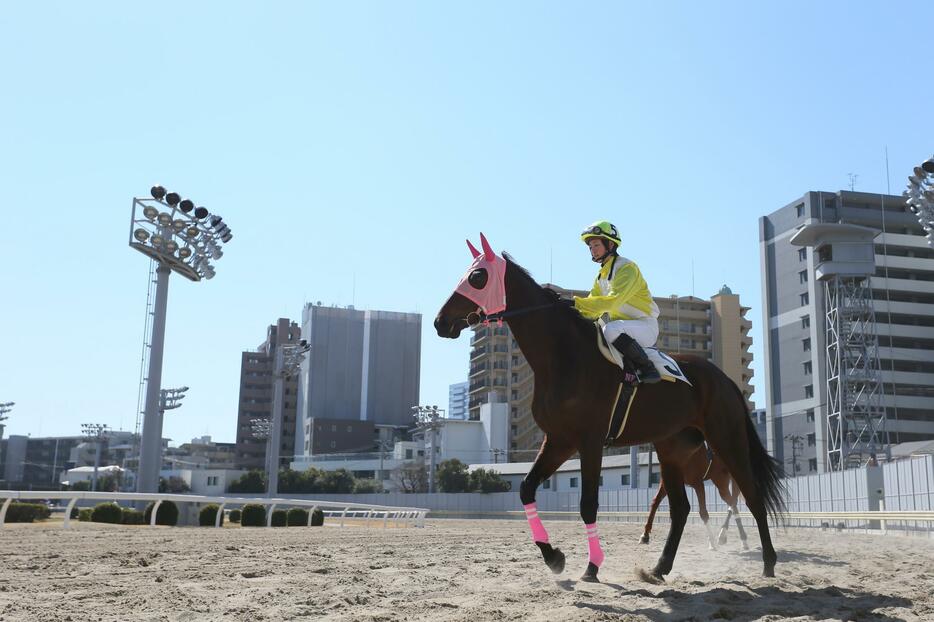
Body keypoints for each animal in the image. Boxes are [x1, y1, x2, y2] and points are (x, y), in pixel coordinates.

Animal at [436, 236, 788, 588]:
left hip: (726, 439)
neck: (564, 357)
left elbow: (588, 504)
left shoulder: (589, 441)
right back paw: (659, 568)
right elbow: (525, 489)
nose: (441, 321)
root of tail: (725, 379)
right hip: (671, 449)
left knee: (752, 495)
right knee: (681, 509)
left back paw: (769, 563)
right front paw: (554, 557)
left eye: (477, 277)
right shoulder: (559, 440)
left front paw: (592, 567)